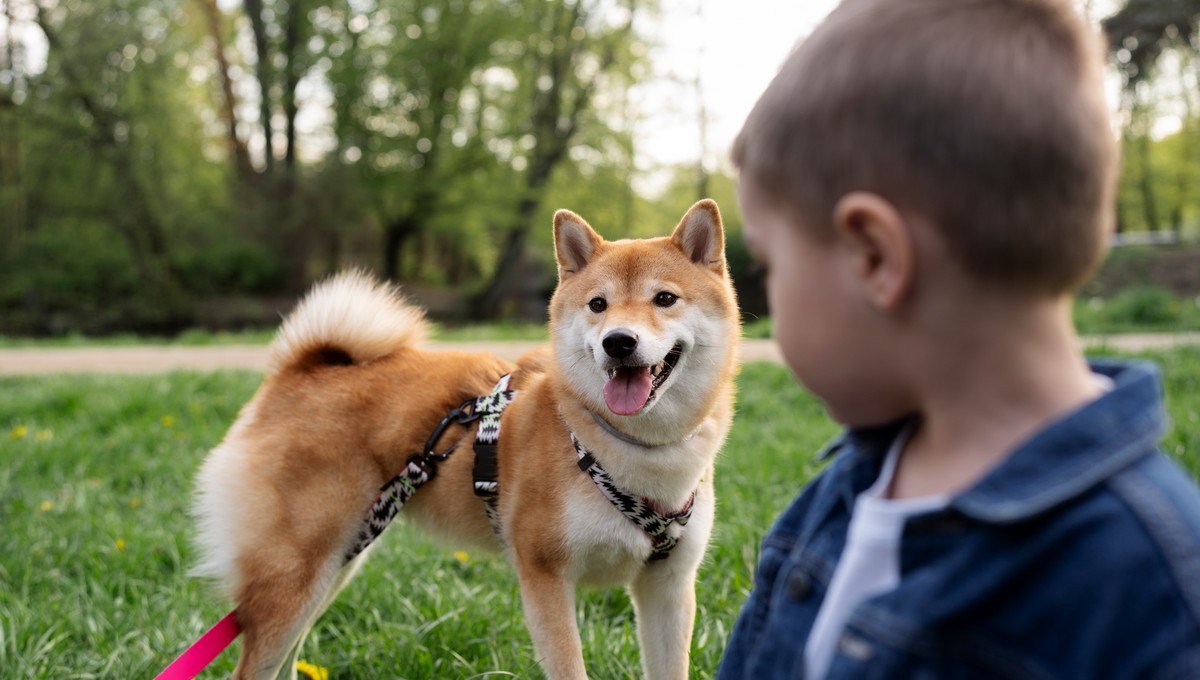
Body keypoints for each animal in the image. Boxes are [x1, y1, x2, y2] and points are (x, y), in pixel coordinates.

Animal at [193, 199, 739, 676]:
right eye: (598, 305)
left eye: (664, 298)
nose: (618, 341)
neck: (629, 447)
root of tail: (302, 369)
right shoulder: (544, 576)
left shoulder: (668, 587)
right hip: (295, 575)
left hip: (335, 566)